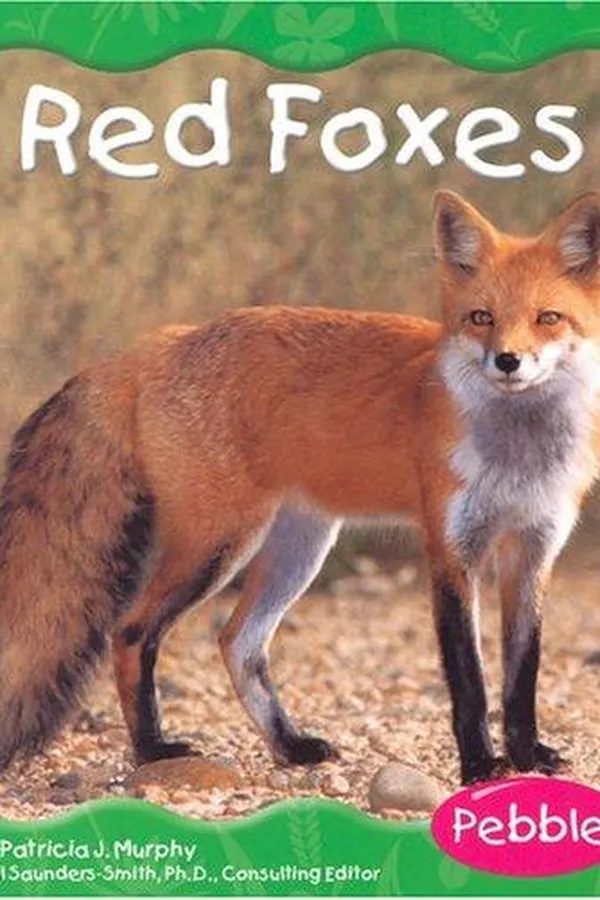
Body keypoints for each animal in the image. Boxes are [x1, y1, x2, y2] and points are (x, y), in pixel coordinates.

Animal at [0, 190, 598, 787]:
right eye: (481, 318)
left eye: (548, 318)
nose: (507, 361)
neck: (519, 455)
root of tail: (163, 341)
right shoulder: (452, 551)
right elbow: (469, 681)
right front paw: (479, 765)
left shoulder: (533, 552)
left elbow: (522, 674)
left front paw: (527, 754)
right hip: (219, 543)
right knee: (131, 631)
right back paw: (153, 750)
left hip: (298, 547)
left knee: (237, 642)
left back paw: (288, 746)